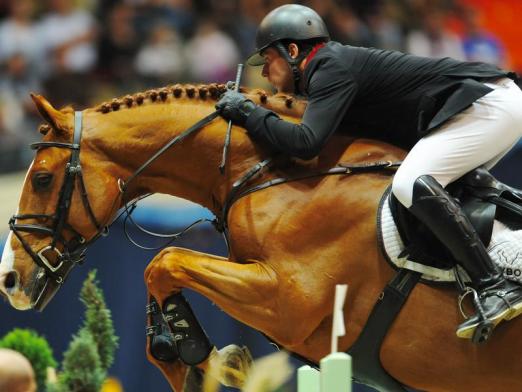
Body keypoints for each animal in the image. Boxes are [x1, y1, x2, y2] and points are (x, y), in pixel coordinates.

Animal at [1, 83, 520, 392]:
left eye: (43, 179)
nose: (10, 280)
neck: (272, 170)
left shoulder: (286, 301)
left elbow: (164, 262)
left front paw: (209, 361)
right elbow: (162, 282)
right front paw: (206, 362)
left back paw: (497, 301)